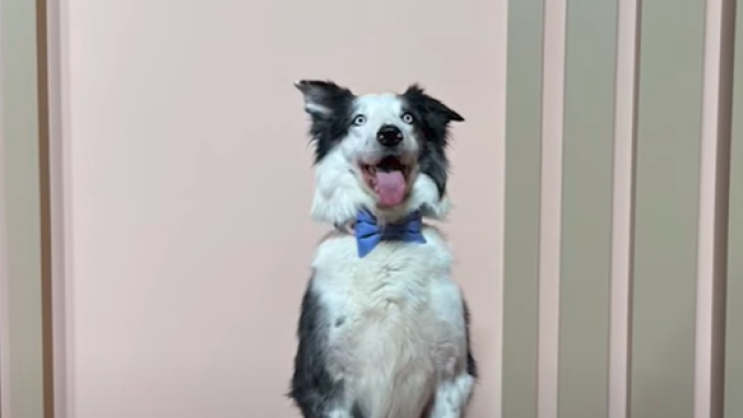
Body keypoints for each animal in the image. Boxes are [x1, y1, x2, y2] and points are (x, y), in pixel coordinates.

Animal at [289, 80, 477, 418]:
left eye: (408, 118)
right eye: (358, 120)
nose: (389, 134)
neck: (387, 235)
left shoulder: (453, 376)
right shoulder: (325, 385)